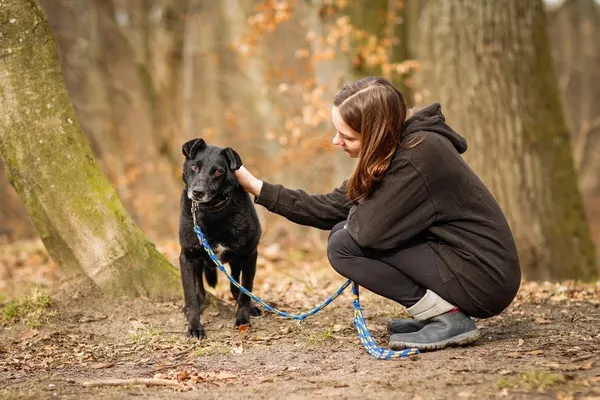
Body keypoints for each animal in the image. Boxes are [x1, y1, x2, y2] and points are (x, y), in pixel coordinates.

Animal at [179, 138, 262, 338]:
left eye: (218, 172)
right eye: (195, 166)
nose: (197, 192)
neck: (212, 211)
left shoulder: (250, 254)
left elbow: (246, 291)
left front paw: (243, 319)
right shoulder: (187, 256)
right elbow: (190, 296)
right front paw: (194, 326)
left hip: (236, 260)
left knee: (236, 286)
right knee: (199, 289)